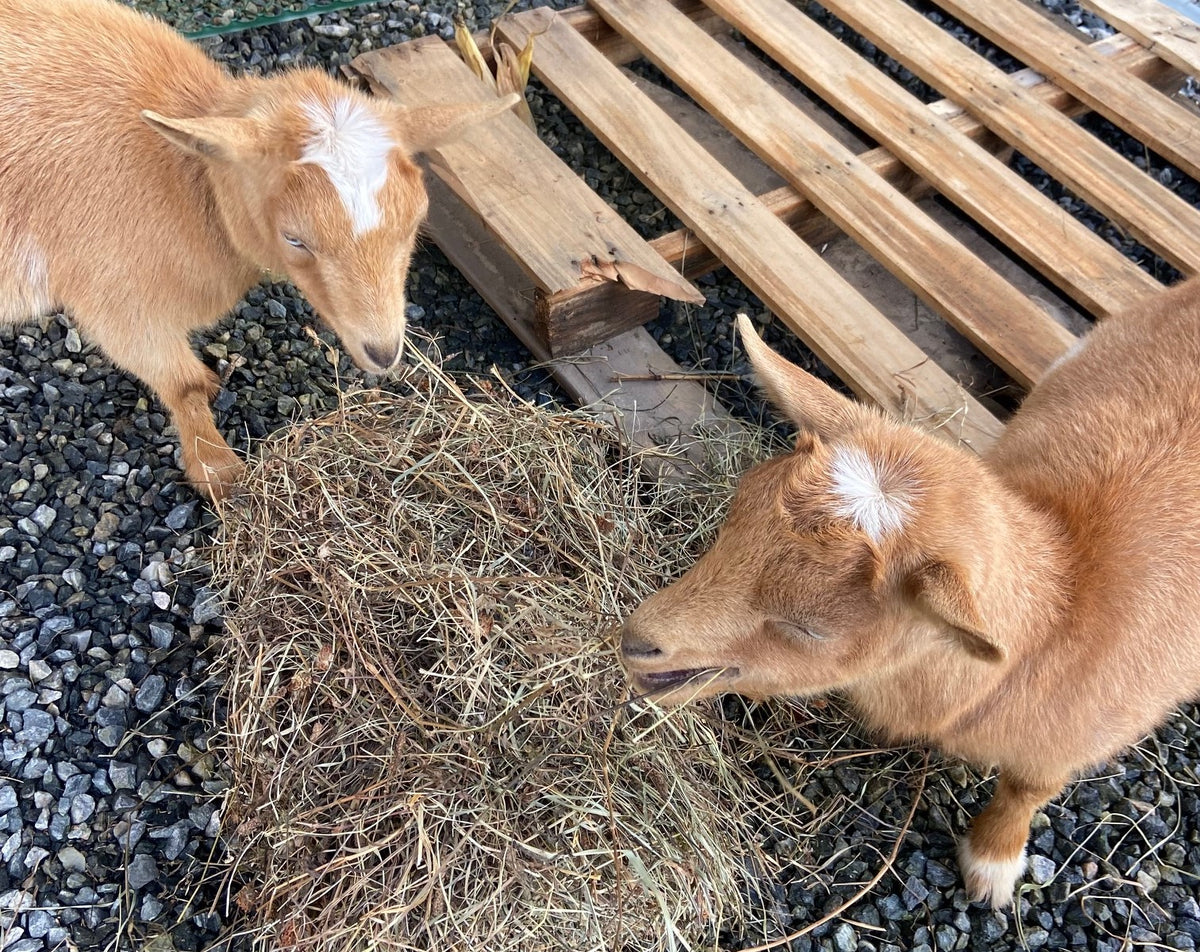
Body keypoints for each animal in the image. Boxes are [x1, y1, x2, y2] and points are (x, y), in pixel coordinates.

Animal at [0, 0, 516, 499]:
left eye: (415, 219)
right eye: (294, 238)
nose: (384, 351)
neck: (186, 180)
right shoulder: (116, 303)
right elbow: (181, 385)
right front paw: (220, 474)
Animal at [620, 284, 1200, 908]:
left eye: (809, 628)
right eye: (732, 516)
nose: (637, 642)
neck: (1066, 594)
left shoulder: (1076, 739)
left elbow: (1028, 787)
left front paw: (991, 865)